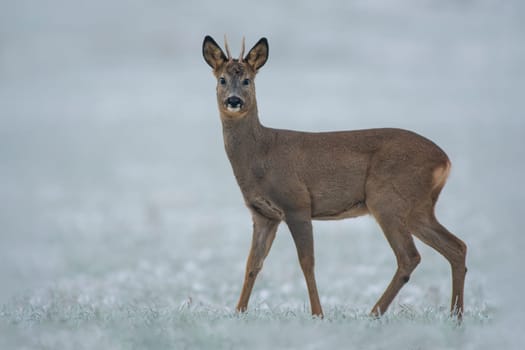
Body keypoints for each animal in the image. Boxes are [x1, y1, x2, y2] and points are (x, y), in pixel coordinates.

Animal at [202, 36, 466, 320]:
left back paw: (374, 313)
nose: (234, 101)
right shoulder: (263, 215)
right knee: (457, 247)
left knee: (410, 256)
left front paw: (318, 314)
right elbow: (252, 264)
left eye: (247, 80)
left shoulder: (297, 203)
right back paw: (456, 316)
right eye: (222, 79)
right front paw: (238, 312)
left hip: (387, 198)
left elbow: (307, 262)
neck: (260, 154)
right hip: (418, 207)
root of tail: (445, 160)